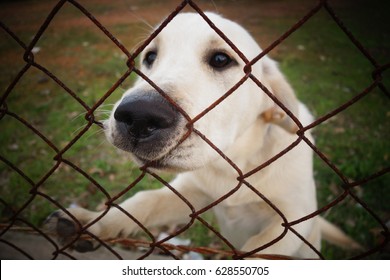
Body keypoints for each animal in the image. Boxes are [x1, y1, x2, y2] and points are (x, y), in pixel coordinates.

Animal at [47, 12, 362, 258]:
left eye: (221, 59)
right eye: (150, 57)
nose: (138, 117)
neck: (235, 163)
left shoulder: (293, 219)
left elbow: (259, 249)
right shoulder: (192, 194)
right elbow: (143, 201)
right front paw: (91, 223)